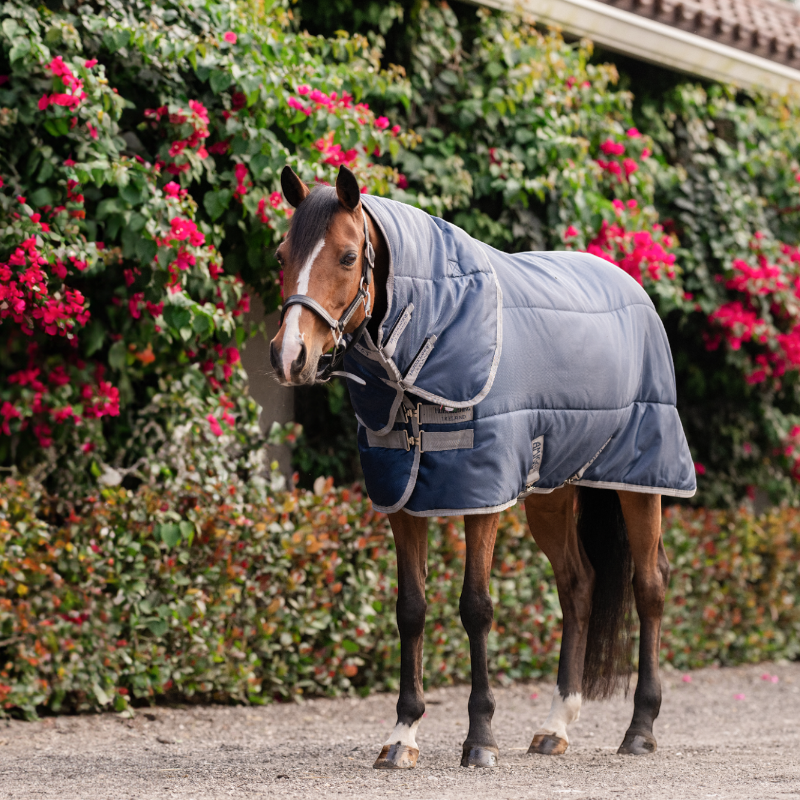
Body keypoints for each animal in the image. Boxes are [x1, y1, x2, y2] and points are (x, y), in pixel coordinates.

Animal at [269, 164, 696, 769]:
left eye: (349, 257)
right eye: (283, 255)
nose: (290, 357)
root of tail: (633, 288)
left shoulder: (483, 498)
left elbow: (476, 607)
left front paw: (480, 739)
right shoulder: (403, 501)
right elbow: (411, 609)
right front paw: (402, 735)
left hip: (642, 478)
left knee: (650, 584)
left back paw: (640, 728)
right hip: (552, 493)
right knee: (578, 584)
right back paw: (555, 726)